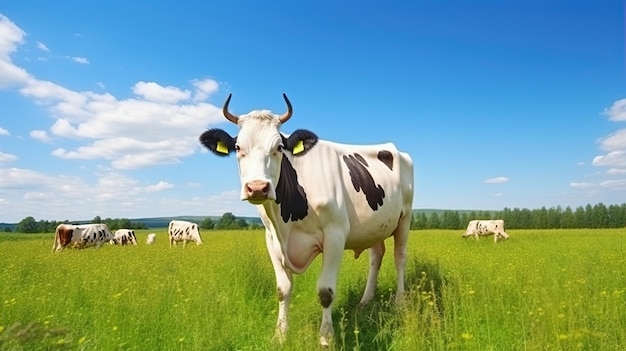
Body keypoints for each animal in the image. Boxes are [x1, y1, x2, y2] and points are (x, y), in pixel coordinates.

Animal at [200, 94, 414, 346]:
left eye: (279, 147)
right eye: (237, 147)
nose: (258, 188)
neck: (287, 221)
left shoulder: (335, 235)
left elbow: (325, 292)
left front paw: (326, 338)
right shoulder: (271, 239)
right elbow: (282, 289)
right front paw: (280, 334)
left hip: (405, 217)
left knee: (399, 257)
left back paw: (400, 303)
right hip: (374, 226)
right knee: (376, 256)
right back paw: (365, 301)